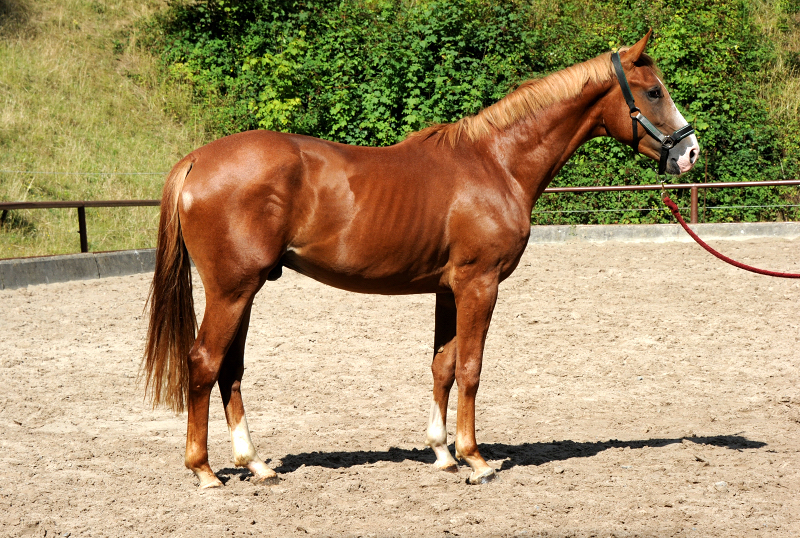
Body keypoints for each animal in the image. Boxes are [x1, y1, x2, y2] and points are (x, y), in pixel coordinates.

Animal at [144, 32, 700, 486]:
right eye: (654, 92)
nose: (690, 152)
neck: (496, 163)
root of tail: (197, 160)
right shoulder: (480, 284)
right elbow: (472, 367)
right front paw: (476, 460)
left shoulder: (448, 290)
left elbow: (443, 366)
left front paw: (442, 453)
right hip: (232, 290)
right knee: (204, 362)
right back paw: (204, 470)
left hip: (243, 290)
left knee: (230, 369)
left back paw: (255, 464)